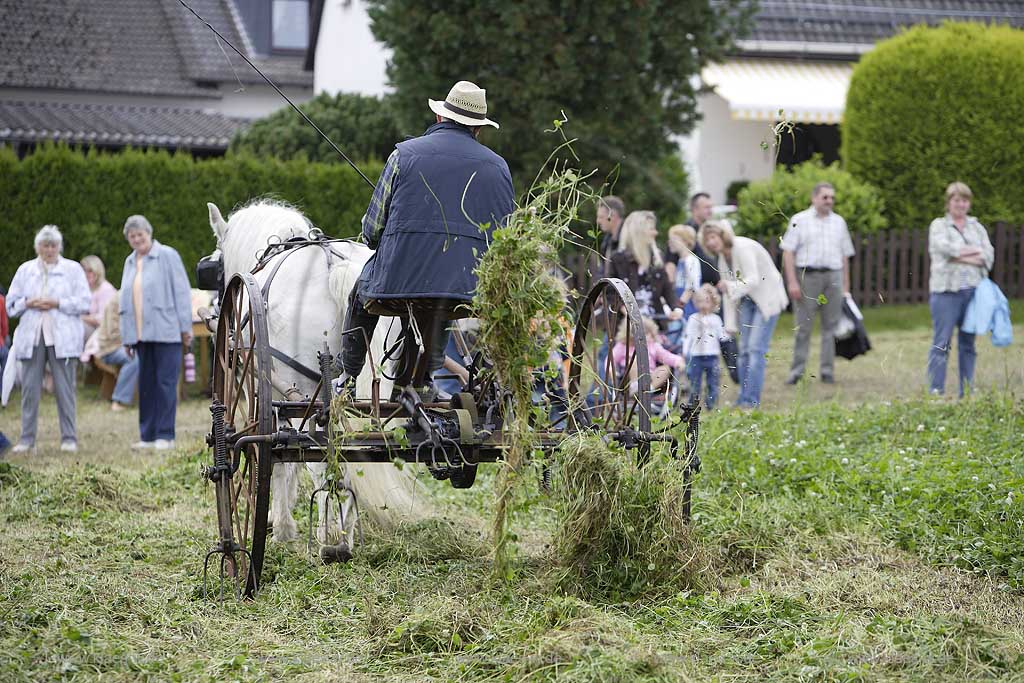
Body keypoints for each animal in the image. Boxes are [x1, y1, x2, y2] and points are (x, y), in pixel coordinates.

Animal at [207, 200, 432, 552]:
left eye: (217, 268)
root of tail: (335, 266)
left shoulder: (266, 393)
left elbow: (281, 460)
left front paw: (282, 526)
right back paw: (345, 534)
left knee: (319, 456)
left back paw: (328, 536)